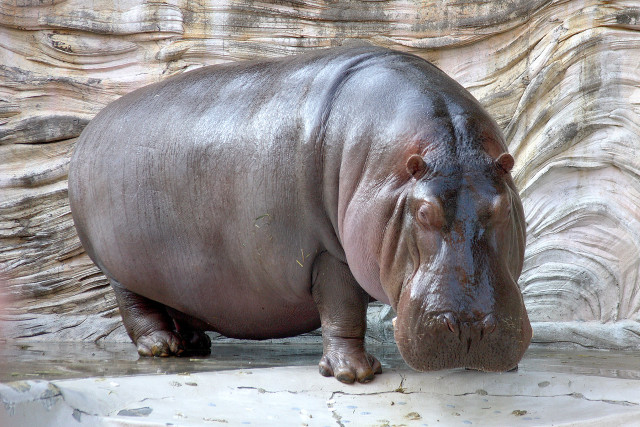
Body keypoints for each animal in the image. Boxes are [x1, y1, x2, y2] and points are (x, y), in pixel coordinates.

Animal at [68, 46, 531, 384]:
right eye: (422, 211)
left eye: (502, 207)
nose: (470, 328)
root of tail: (90, 131)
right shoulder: (329, 253)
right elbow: (343, 310)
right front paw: (354, 375)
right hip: (117, 267)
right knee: (136, 308)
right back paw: (162, 348)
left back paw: (195, 342)